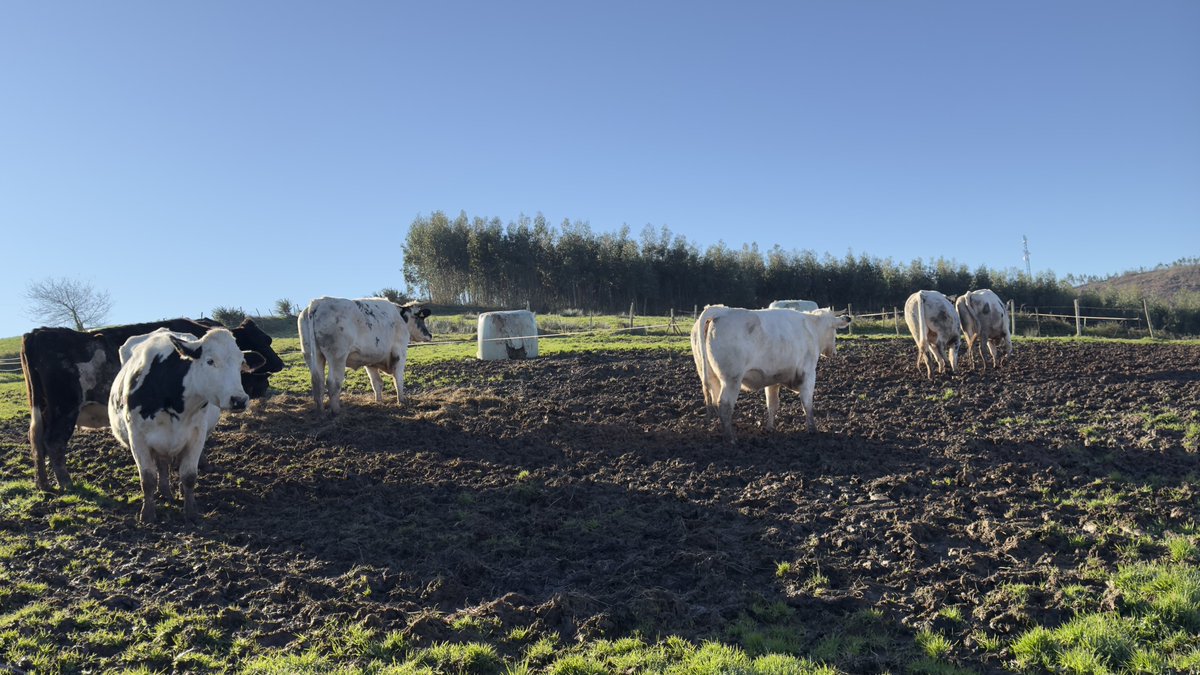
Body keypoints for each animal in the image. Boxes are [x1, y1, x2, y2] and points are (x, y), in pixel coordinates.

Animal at [20, 318, 284, 491]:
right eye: (265, 340)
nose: (280, 363)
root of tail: (37, 333)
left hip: (42, 409)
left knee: (37, 441)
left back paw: (43, 484)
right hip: (64, 409)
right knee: (53, 442)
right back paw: (66, 482)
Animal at [109, 328, 265, 523]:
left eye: (241, 363)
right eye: (210, 361)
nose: (239, 400)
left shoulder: (196, 435)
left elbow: (189, 475)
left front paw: (191, 512)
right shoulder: (137, 438)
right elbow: (148, 478)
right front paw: (148, 514)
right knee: (162, 466)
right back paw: (165, 492)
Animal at [297, 297, 433, 415]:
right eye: (421, 318)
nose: (430, 335)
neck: (401, 317)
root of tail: (318, 302)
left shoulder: (370, 361)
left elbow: (377, 383)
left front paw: (379, 402)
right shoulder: (400, 352)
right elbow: (398, 380)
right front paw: (402, 401)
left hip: (311, 355)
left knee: (318, 382)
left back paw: (320, 411)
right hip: (337, 357)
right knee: (333, 383)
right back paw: (336, 411)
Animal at [691, 305, 851, 444]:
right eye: (834, 330)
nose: (834, 352)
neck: (811, 329)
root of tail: (720, 310)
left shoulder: (773, 379)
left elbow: (772, 404)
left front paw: (769, 428)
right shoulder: (808, 374)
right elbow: (807, 404)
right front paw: (812, 429)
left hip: (713, 379)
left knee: (716, 403)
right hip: (731, 380)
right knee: (724, 405)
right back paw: (731, 438)